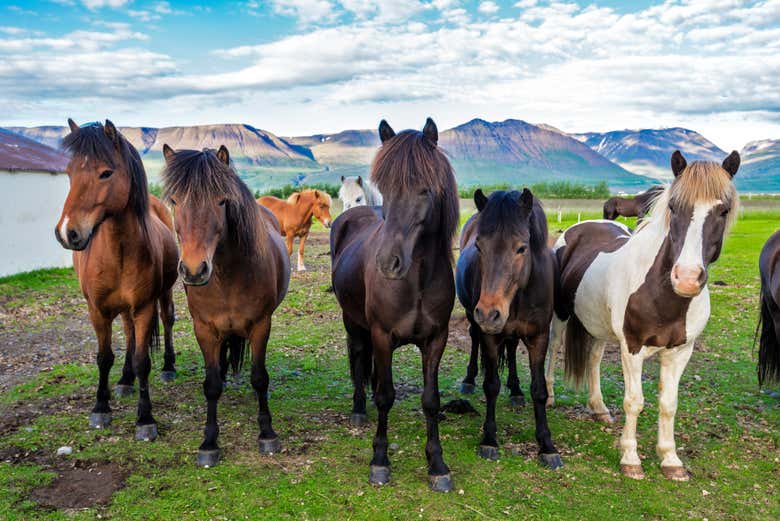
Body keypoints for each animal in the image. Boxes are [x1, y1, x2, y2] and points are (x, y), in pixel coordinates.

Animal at [53, 119, 178, 438]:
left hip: (163, 294)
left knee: (167, 320)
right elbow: (104, 356)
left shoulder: (144, 307)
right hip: (121, 308)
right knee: (130, 333)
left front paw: (145, 419)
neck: (117, 252)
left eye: (105, 173)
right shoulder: (97, 310)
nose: (67, 232)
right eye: (69, 172)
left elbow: (143, 360)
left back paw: (168, 367)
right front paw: (101, 407)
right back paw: (124, 380)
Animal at [161, 143, 290, 468]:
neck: (227, 277)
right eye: (175, 200)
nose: (194, 270)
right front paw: (209, 442)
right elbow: (211, 384)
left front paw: (267, 433)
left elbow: (260, 378)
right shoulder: (205, 329)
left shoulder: (261, 326)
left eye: (221, 201)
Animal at [328, 118, 458, 492]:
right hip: (353, 321)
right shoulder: (382, 335)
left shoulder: (436, 340)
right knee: (358, 354)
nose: (388, 263)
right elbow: (385, 395)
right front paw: (380, 460)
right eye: (384, 188)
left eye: (426, 189)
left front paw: (437, 464)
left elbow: (431, 400)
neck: (418, 280)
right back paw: (359, 409)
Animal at [454, 188, 564, 468]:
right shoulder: (490, 337)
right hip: (473, 318)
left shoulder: (539, 337)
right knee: (473, 338)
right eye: (479, 246)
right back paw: (469, 380)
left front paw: (546, 445)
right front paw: (489, 440)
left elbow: (539, 390)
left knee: (512, 348)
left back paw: (515, 390)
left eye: (521, 248)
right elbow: (491, 385)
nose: (488, 313)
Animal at [544, 149, 740, 480]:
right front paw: (630, 458)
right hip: (561, 318)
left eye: (723, 211)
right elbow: (634, 401)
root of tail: (580, 227)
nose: (687, 279)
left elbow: (668, 404)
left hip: (599, 326)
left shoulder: (680, 352)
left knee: (594, 359)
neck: (663, 296)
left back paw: (598, 408)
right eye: (673, 207)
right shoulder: (632, 348)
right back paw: (547, 397)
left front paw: (671, 459)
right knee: (553, 349)